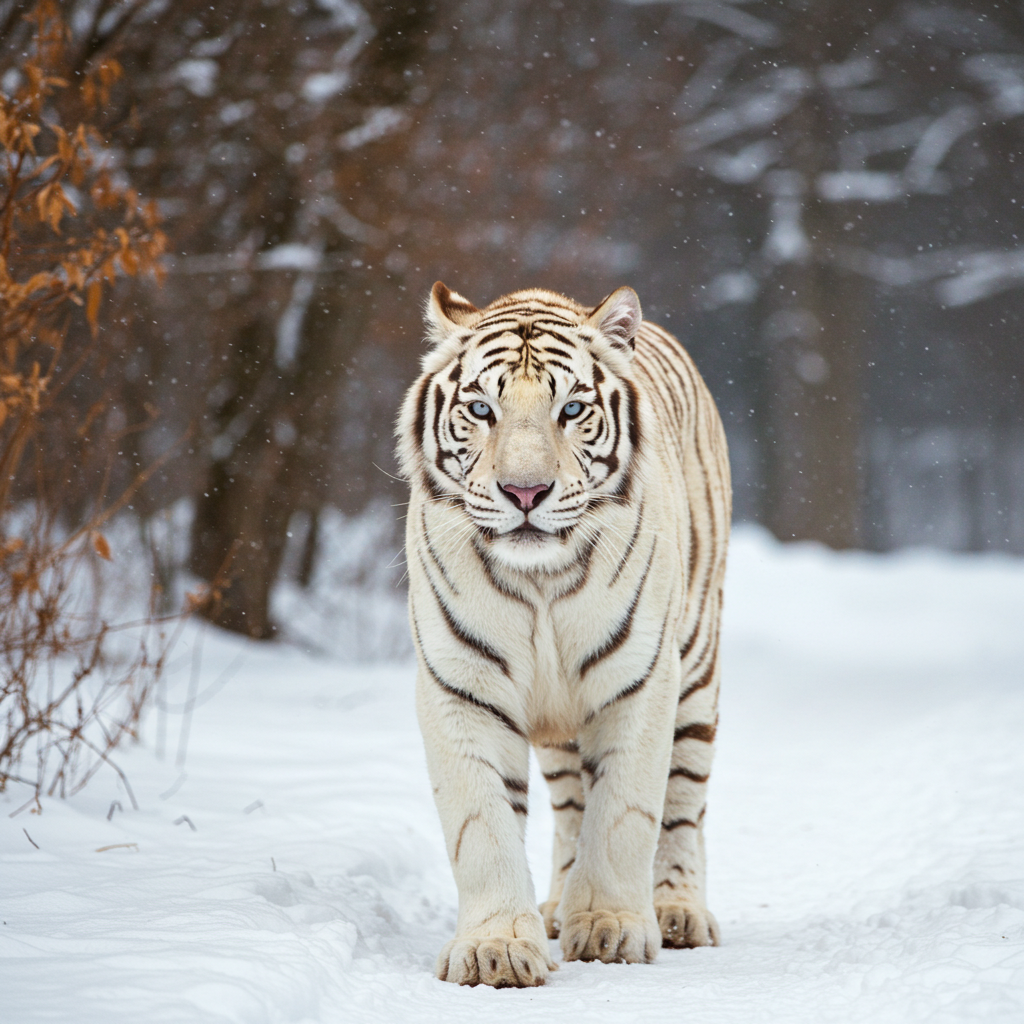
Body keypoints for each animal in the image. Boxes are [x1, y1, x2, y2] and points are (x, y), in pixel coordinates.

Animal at [396, 281, 731, 988]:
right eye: (481, 409)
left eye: (572, 408)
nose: (525, 492)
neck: (540, 582)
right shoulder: (461, 687)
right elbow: (483, 826)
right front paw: (494, 949)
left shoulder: (640, 681)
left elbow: (625, 814)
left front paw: (610, 927)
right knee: (572, 803)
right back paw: (555, 908)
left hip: (697, 670)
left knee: (683, 802)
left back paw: (678, 912)